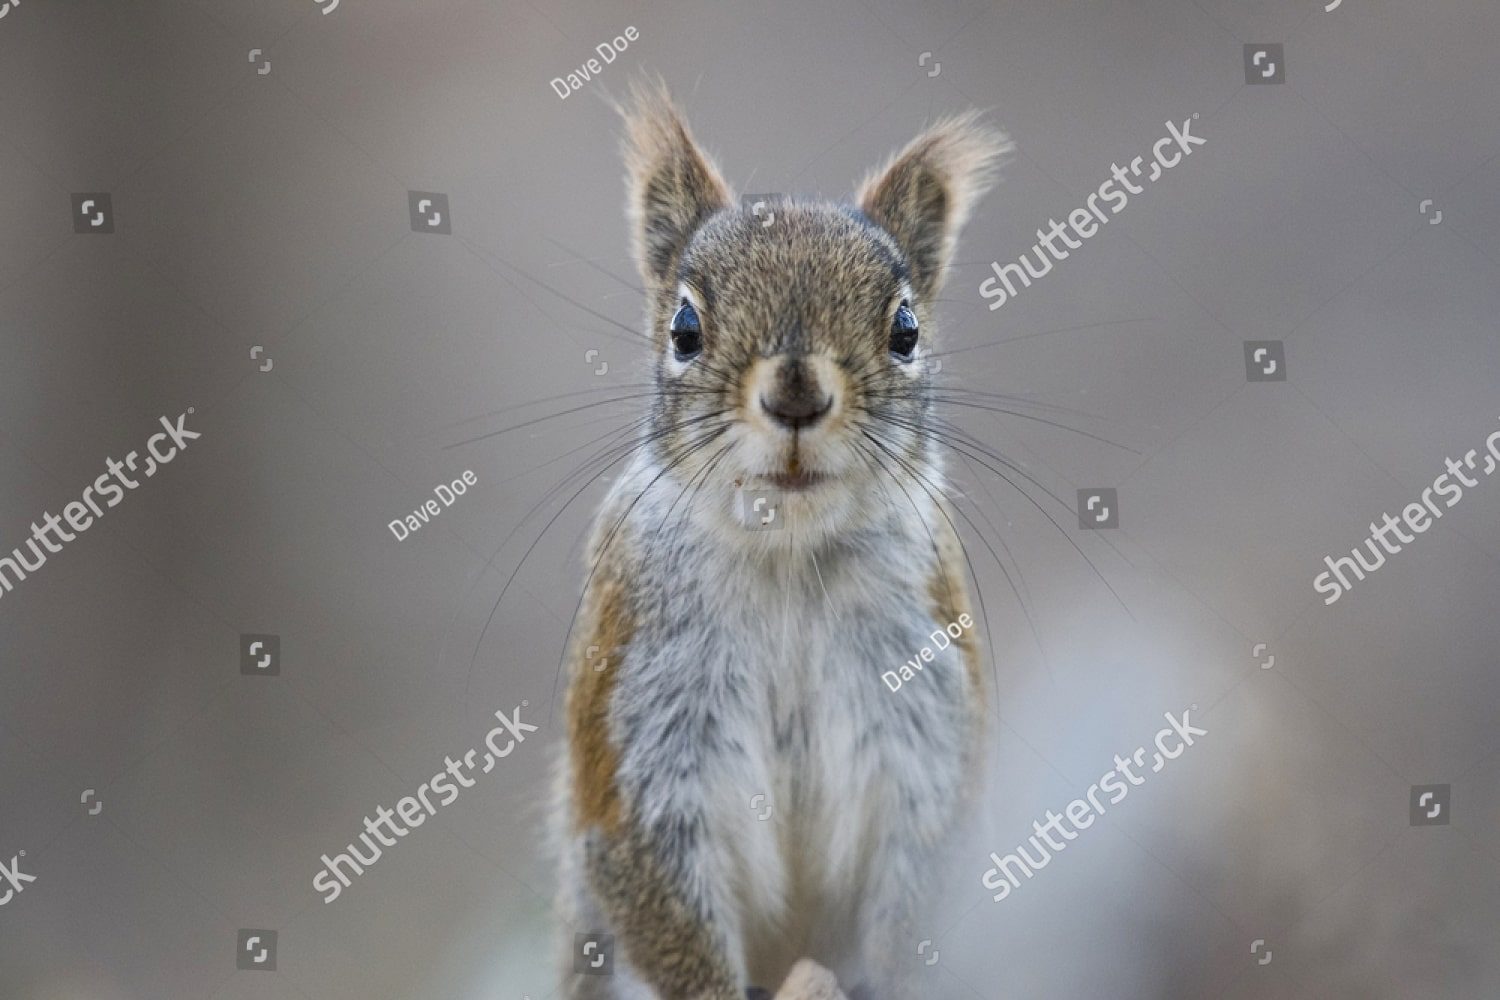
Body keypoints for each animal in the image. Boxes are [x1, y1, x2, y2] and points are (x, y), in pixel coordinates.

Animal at [554, 79, 1011, 1000]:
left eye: (906, 329)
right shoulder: (639, 721)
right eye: (684, 328)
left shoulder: (924, 712)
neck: (789, 555)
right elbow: (646, 878)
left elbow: (924, 878)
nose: (796, 394)